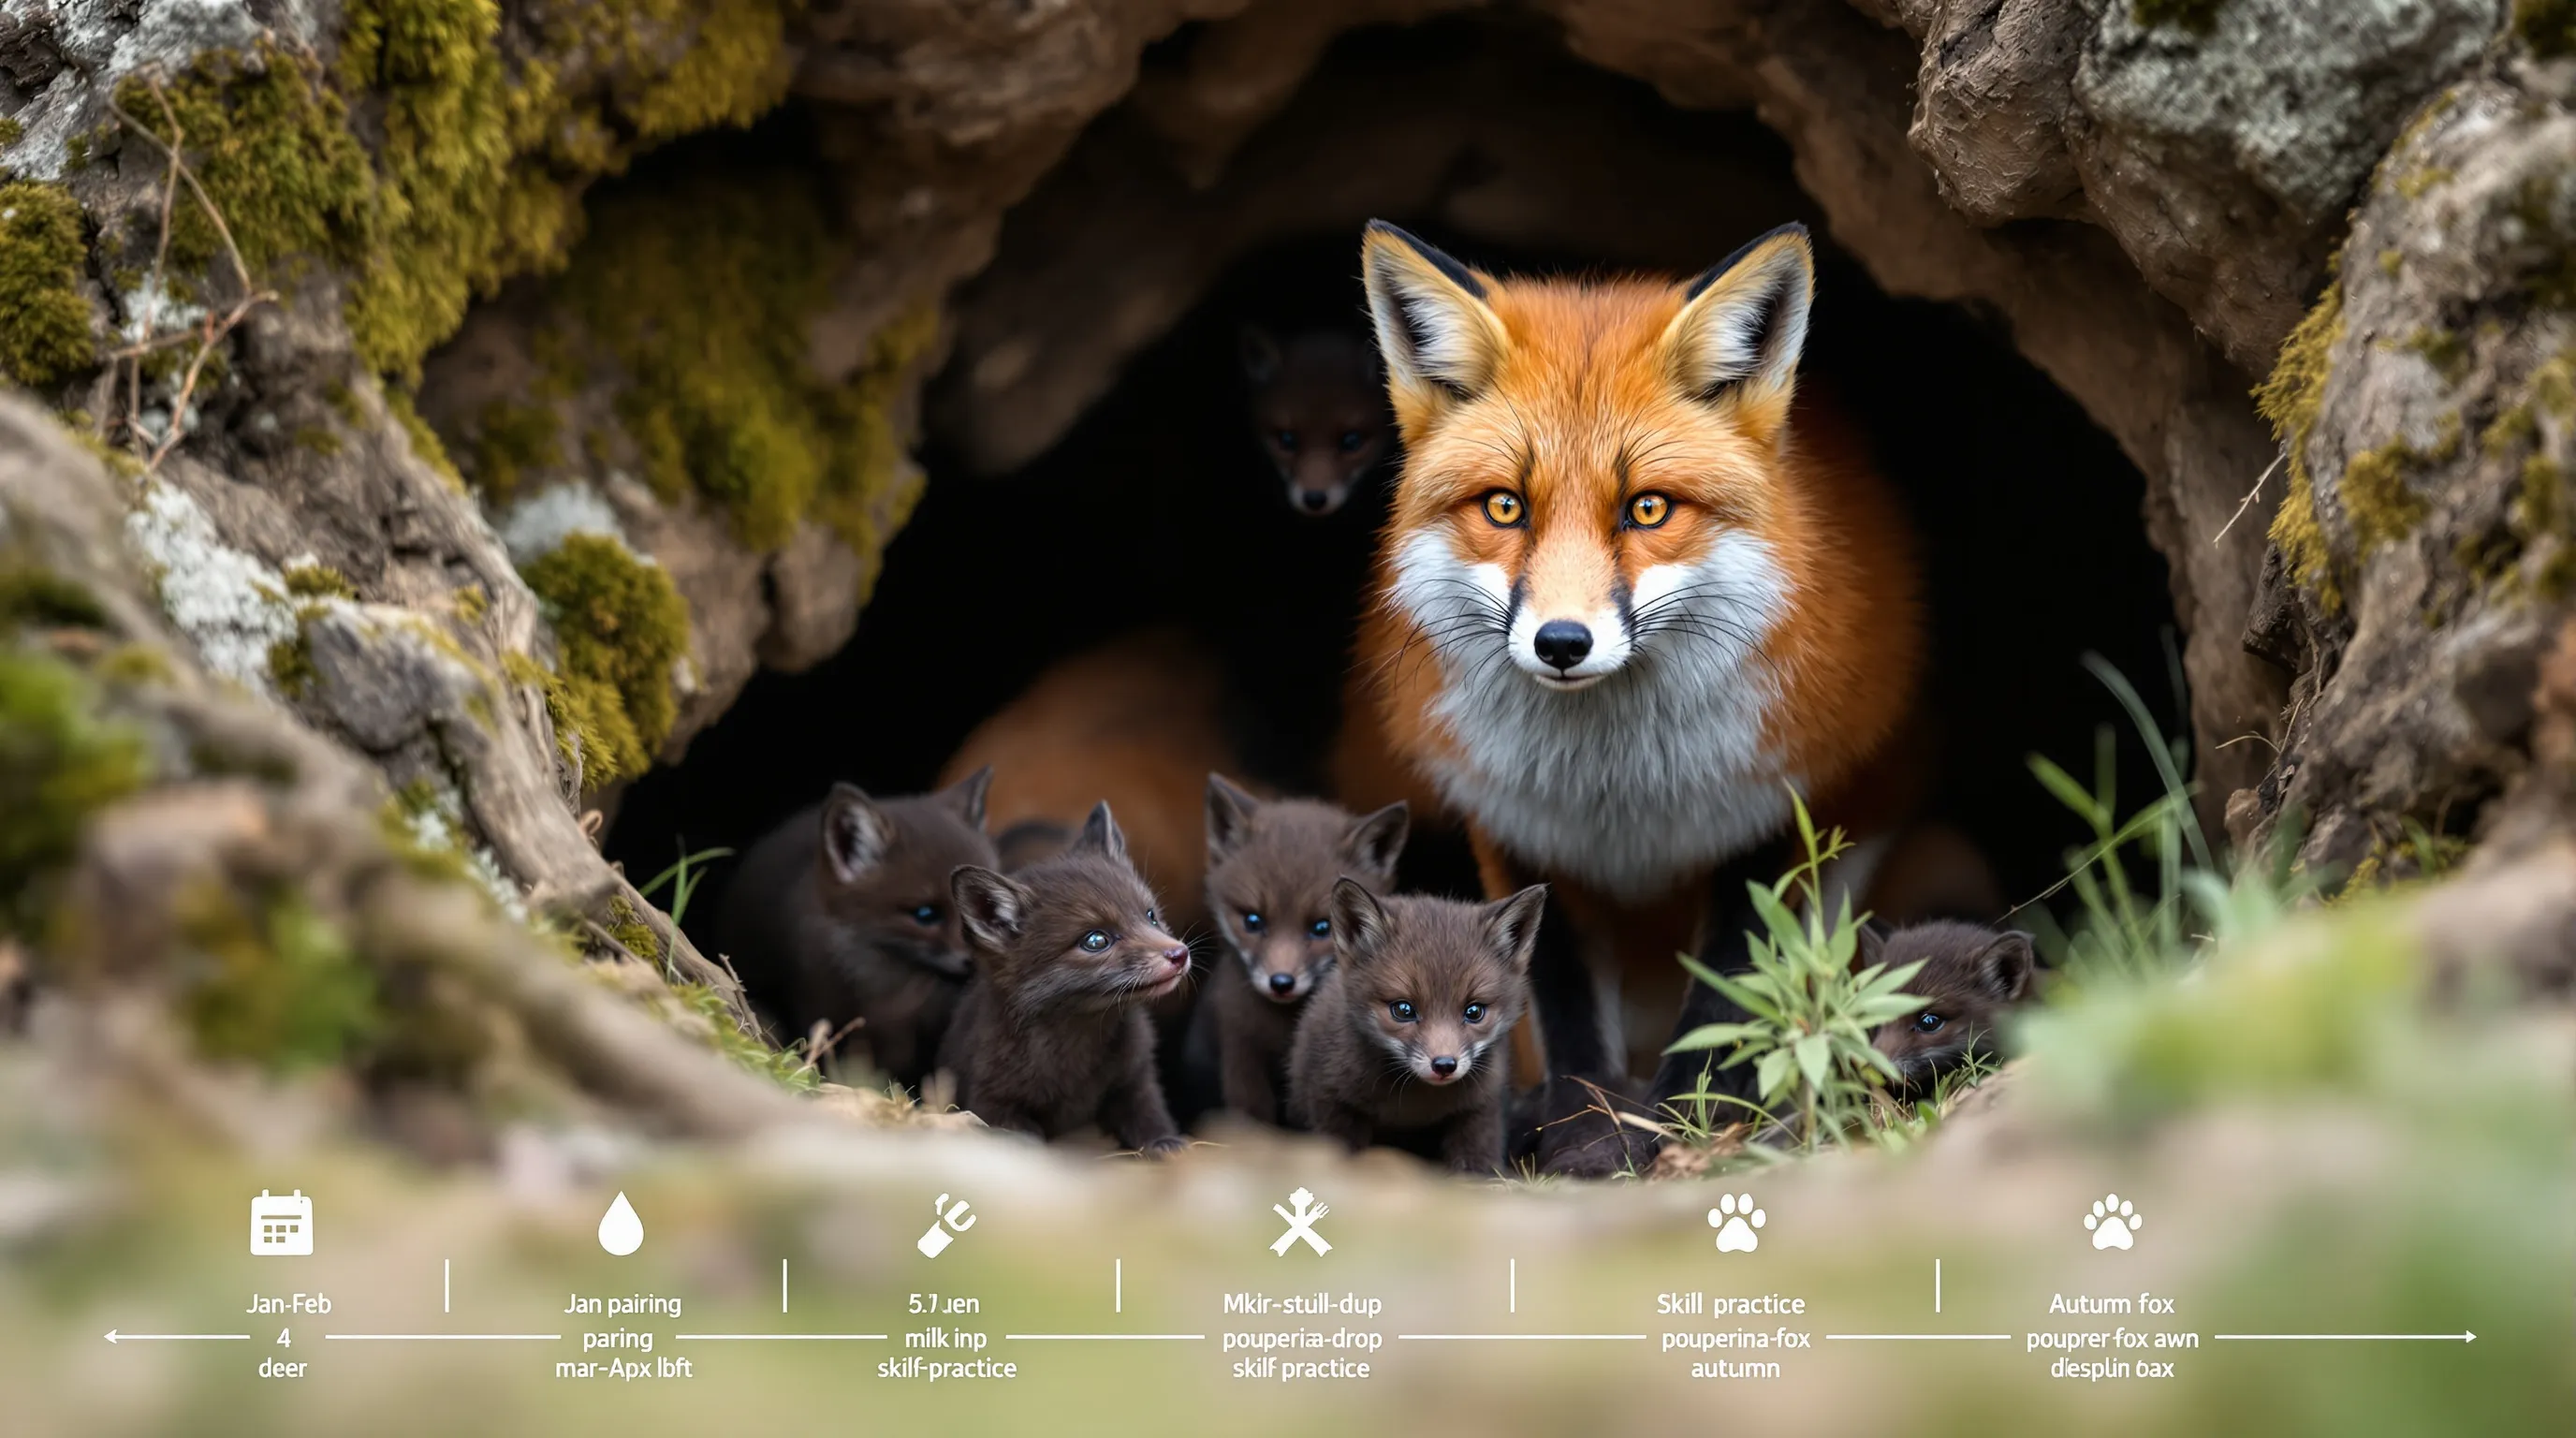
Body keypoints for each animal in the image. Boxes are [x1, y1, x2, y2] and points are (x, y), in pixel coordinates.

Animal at [935, 803, 1192, 1155]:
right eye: (1096, 940)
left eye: (1151, 916)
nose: (1180, 954)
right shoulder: (990, 1100)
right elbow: (1024, 1138)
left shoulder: (1135, 1079)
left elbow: (1151, 1117)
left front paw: (1167, 1144)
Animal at [1188, 774, 1409, 1126]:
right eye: (1253, 921)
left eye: (1321, 928)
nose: (1281, 983)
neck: (1282, 1031)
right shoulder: (1239, 1047)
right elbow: (1252, 1114)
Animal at [1286, 879, 1546, 1175]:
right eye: (1404, 1010)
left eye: (1474, 1012)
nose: (1444, 1065)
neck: (1411, 1110)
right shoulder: (1329, 1099)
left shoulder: (1480, 1110)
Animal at [1344, 219, 1926, 1176]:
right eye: (1505, 507)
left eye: (1647, 509)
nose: (1562, 642)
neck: (1621, 791)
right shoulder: (1517, 826)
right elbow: (1559, 1004)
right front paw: (1585, 1132)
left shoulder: (1774, 810)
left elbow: (1727, 993)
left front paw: (1689, 1124)